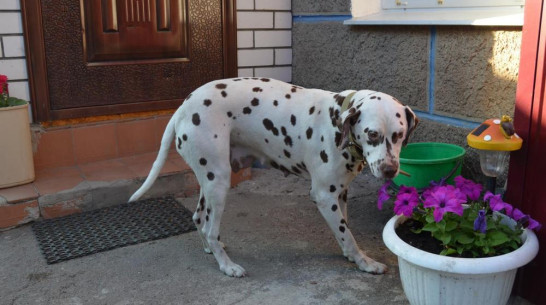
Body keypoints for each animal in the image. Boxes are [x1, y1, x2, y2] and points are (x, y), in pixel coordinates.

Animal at [129, 77, 416, 276]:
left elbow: (345, 230)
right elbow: (347, 235)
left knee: (199, 217)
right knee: (210, 228)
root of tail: (183, 107)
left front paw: (352, 256)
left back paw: (212, 249)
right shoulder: (324, 196)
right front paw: (364, 262)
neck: (337, 117)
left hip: (209, 181)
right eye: (372, 134)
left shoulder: (340, 194)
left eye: (399, 134)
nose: (390, 170)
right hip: (219, 182)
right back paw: (227, 266)